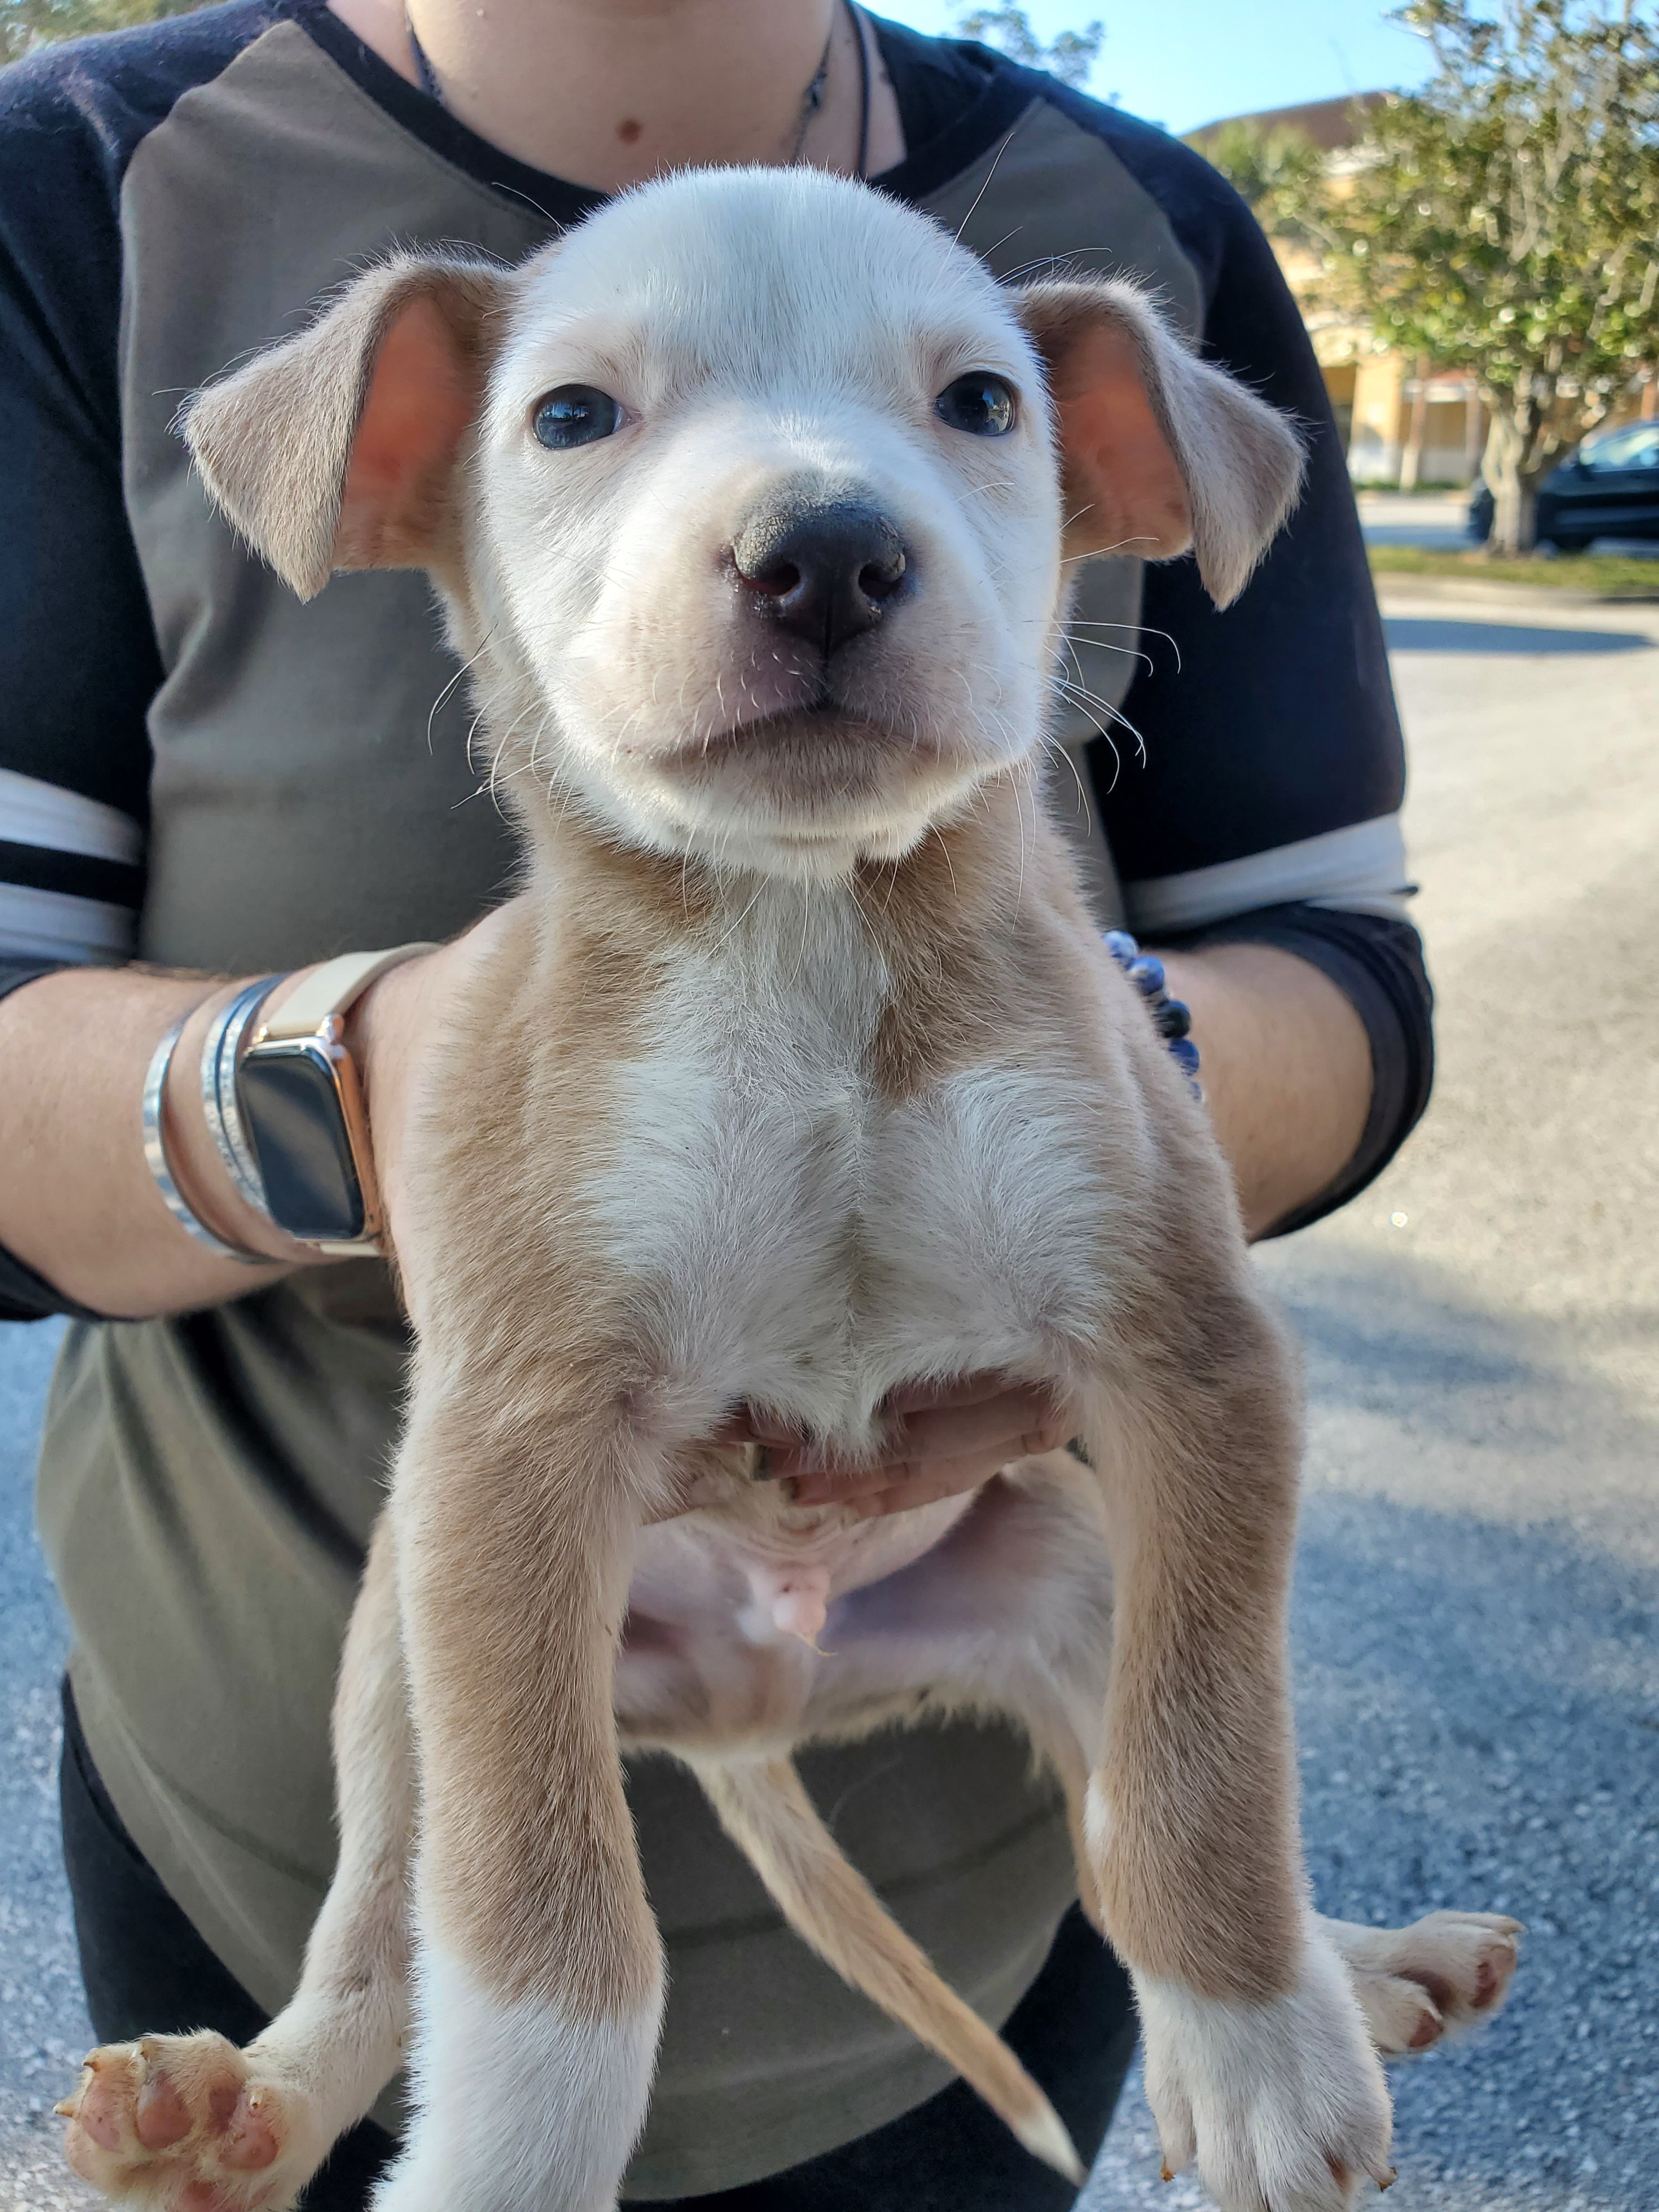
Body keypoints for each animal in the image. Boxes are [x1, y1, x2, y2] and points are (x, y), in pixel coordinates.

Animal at [61, 172, 1522, 2212]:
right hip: (409, 1649)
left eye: (983, 404)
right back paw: (238, 2113)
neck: (807, 940)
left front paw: (1259, 2055)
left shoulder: (1196, 1361)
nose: (822, 552)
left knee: (1118, 1813)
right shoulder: (510, 1454)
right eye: (572, 415)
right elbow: (544, 1933)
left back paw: (1364, 1974)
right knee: (380, 1926)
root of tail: (761, 1707)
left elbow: (1209, 1776)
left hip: (1072, 1570)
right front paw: (505, 2163)